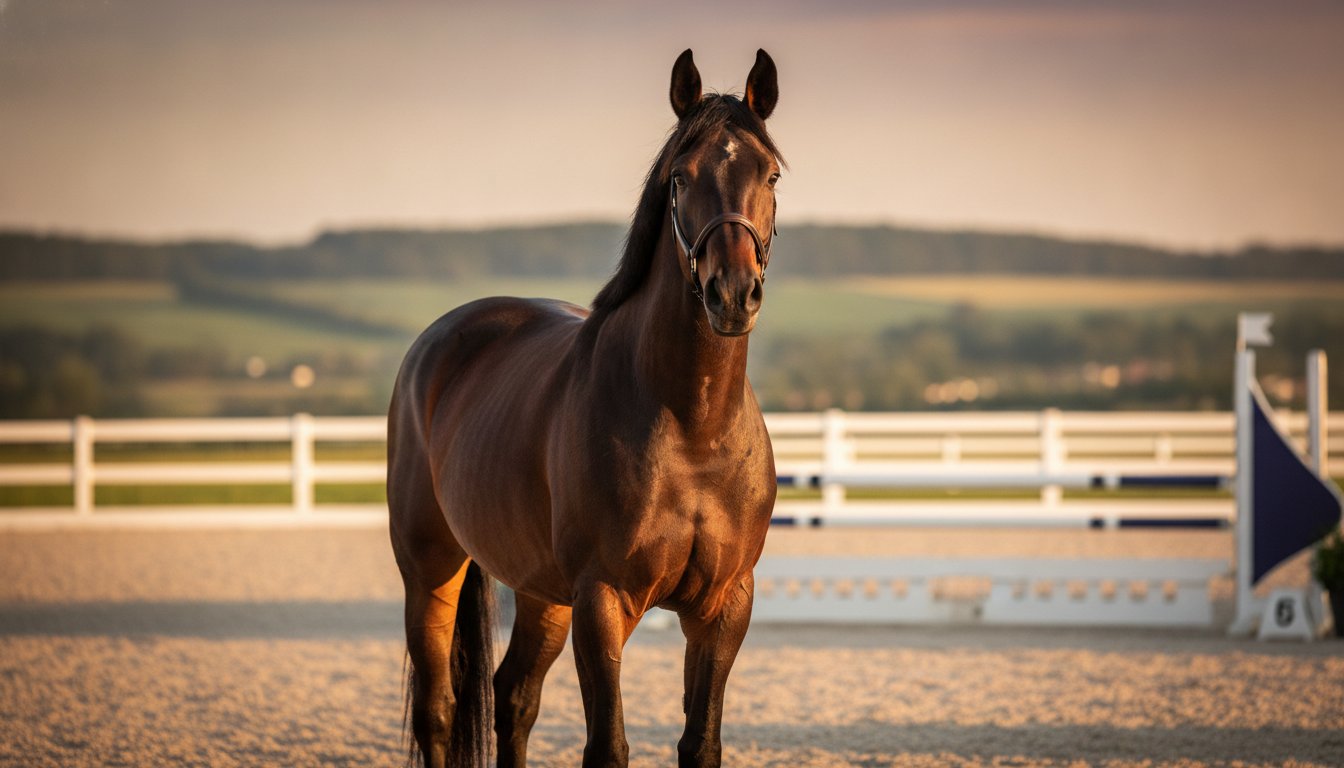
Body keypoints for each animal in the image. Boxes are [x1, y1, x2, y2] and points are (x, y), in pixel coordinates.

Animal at [388, 48, 782, 768]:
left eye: (769, 173)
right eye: (680, 178)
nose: (733, 294)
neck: (692, 427)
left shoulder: (723, 608)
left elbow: (700, 742)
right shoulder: (602, 601)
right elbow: (607, 746)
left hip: (543, 594)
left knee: (513, 697)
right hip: (430, 571)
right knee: (438, 710)